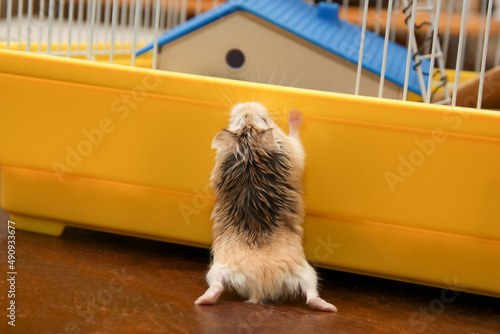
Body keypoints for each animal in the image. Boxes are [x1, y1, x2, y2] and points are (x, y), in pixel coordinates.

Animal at [195, 102, 336, 314]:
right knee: (311, 296)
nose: (247, 104)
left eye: (260, 119)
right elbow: (296, 141)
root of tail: (262, 285)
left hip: (221, 269)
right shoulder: (294, 150)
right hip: (305, 271)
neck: (251, 153)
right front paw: (295, 114)